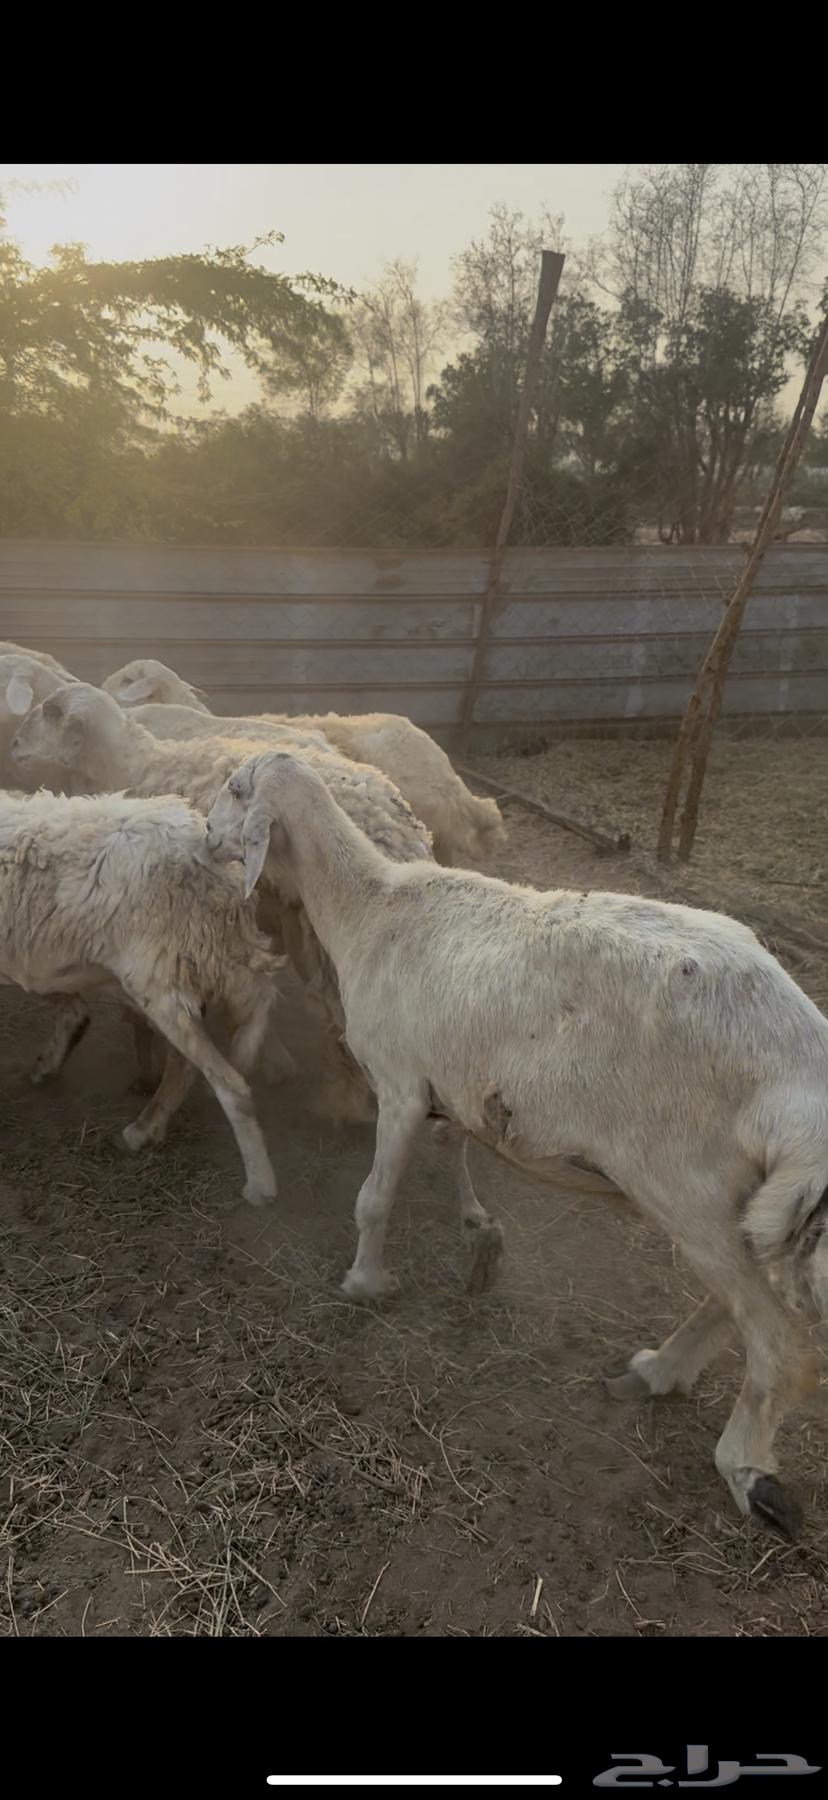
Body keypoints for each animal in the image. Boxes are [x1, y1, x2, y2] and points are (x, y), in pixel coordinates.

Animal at [0, 788, 281, 1204]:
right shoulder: (37, 958)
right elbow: (66, 1001)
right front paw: (50, 1059)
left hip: (160, 977)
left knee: (229, 1083)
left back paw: (260, 1184)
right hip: (200, 960)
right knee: (242, 1014)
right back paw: (148, 1126)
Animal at [204, 747, 828, 1539]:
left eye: (235, 789)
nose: (202, 836)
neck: (369, 907)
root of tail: (802, 1063)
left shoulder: (399, 1081)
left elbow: (374, 1198)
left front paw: (366, 1282)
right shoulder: (449, 1082)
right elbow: (456, 1150)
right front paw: (479, 1235)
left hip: (689, 1182)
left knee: (780, 1347)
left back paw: (747, 1469)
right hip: (743, 1202)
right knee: (738, 1306)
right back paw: (655, 1372)